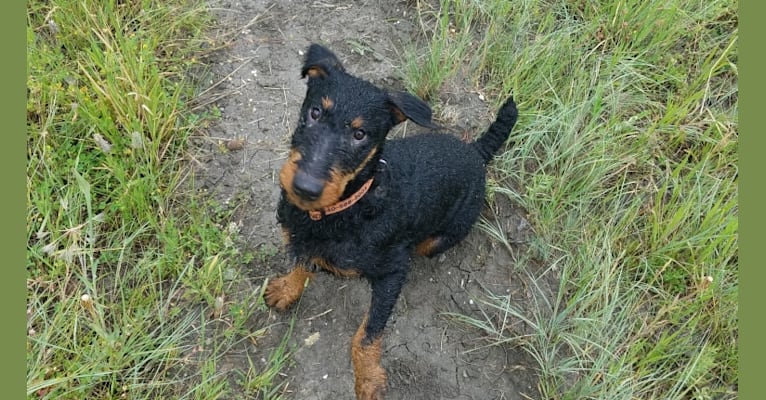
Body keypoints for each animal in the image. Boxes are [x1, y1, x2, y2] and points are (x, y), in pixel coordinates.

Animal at [266, 43, 520, 400]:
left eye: (361, 134)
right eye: (314, 112)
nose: (305, 187)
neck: (347, 208)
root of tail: (475, 151)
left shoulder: (391, 273)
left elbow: (366, 334)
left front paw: (368, 379)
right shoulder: (303, 237)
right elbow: (303, 262)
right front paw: (287, 289)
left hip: (441, 237)